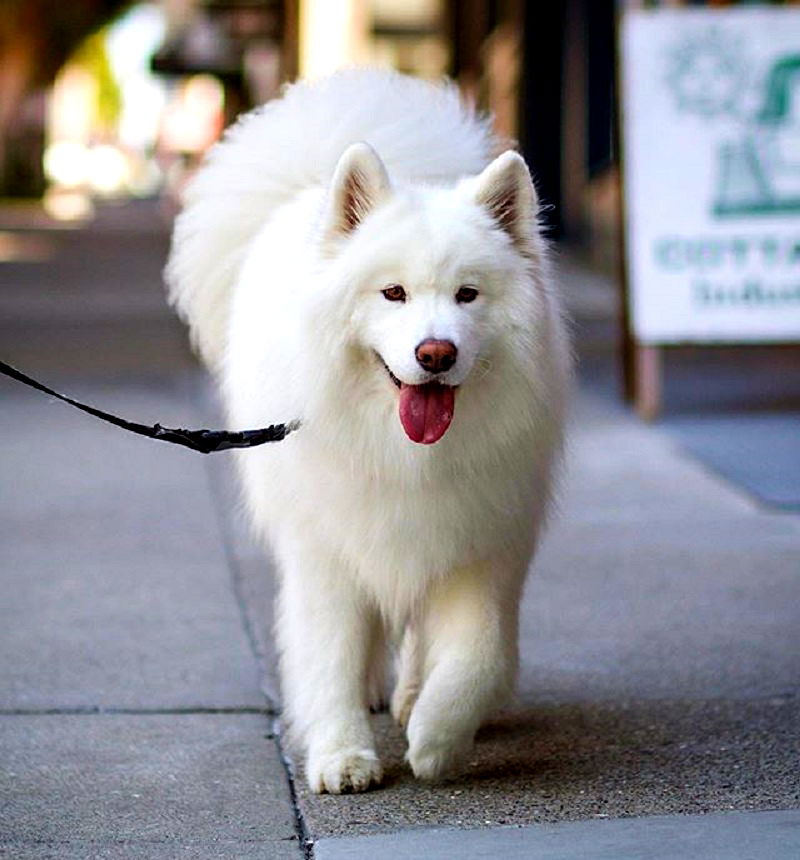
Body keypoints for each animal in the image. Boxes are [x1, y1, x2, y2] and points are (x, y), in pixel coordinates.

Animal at [167, 67, 568, 792]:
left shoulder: (479, 544)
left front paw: (438, 737)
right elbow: (329, 657)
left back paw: (410, 697)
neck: (407, 456)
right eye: (393, 294)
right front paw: (341, 756)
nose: (435, 353)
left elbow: (479, 654)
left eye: (468, 294)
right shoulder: (327, 550)